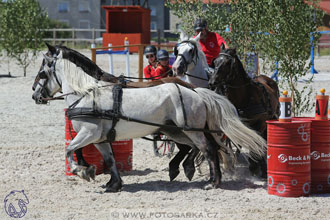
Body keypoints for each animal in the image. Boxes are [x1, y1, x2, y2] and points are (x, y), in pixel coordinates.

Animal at [32, 44, 266, 192]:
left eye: (43, 71)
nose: (35, 94)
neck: (87, 93)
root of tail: (197, 91)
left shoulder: (88, 133)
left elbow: (69, 150)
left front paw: (83, 171)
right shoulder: (100, 139)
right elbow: (110, 160)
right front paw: (113, 185)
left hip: (190, 130)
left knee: (208, 149)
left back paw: (212, 182)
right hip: (176, 132)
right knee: (200, 149)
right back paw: (188, 170)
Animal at [209, 48, 278, 177]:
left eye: (227, 63)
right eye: (215, 62)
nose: (212, 82)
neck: (245, 97)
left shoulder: (260, 123)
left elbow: (257, 142)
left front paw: (258, 166)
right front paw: (253, 165)